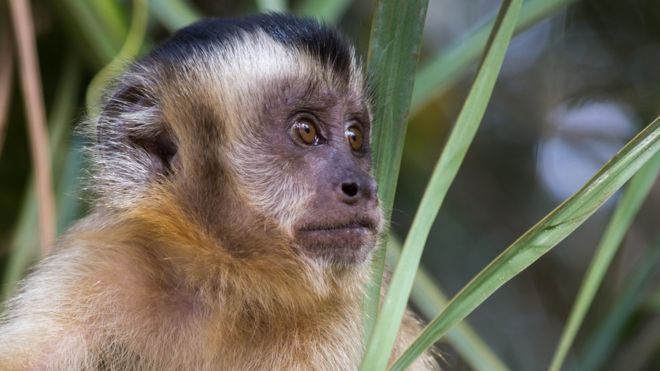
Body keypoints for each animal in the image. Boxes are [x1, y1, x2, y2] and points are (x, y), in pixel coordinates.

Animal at [0, 13, 436, 370]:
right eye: (306, 131)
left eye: (355, 137)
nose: (362, 186)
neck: (222, 283)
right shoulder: (93, 265)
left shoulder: (350, 321)